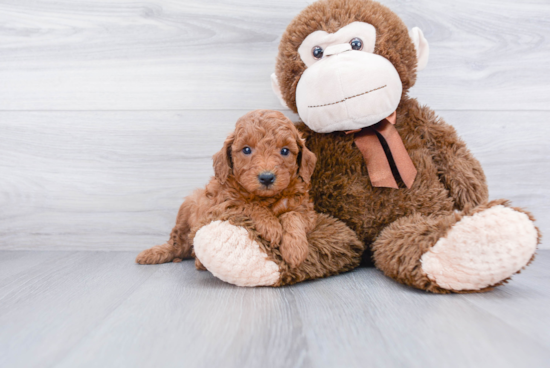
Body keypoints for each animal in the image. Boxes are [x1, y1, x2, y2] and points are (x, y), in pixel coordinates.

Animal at [137, 109, 320, 270]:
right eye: (246, 149)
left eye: (285, 151)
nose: (267, 177)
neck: (265, 198)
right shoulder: (219, 207)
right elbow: (247, 204)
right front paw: (271, 226)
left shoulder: (307, 212)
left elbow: (293, 215)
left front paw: (295, 248)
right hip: (188, 207)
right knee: (177, 244)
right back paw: (154, 254)